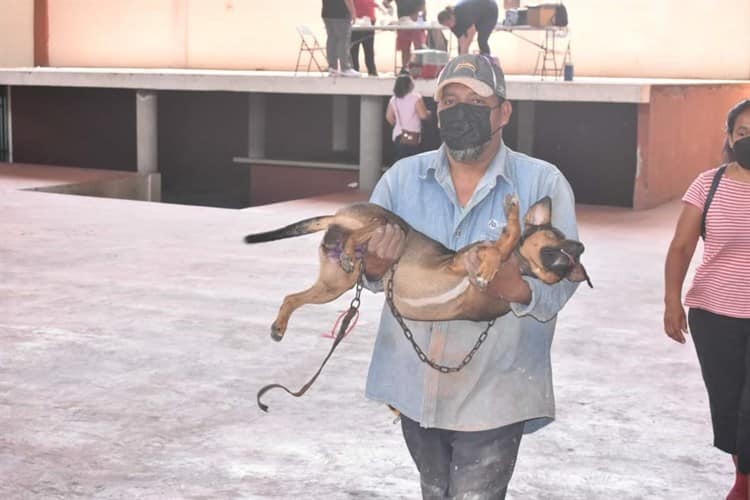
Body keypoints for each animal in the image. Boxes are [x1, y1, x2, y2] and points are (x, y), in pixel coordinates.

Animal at [244, 194, 592, 340]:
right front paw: (510, 221)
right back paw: (350, 247)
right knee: (362, 232)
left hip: (333, 285)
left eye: (575, 261)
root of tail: (338, 215)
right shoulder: (460, 262)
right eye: (556, 235)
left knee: (291, 297)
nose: (580, 246)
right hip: (383, 225)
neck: (518, 267)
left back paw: (279, 326)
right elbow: (509, 237)